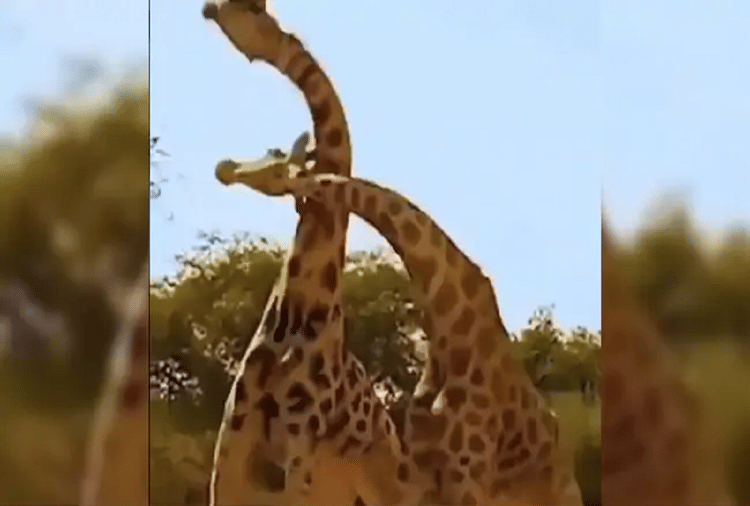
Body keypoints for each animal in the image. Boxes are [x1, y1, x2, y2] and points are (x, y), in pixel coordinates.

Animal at [216, 143, 583, 505]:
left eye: (278, 163)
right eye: (269, 152)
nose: (226, 168)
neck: (447, 327)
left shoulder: (468, 472)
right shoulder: (425, 470)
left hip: (556, 490)